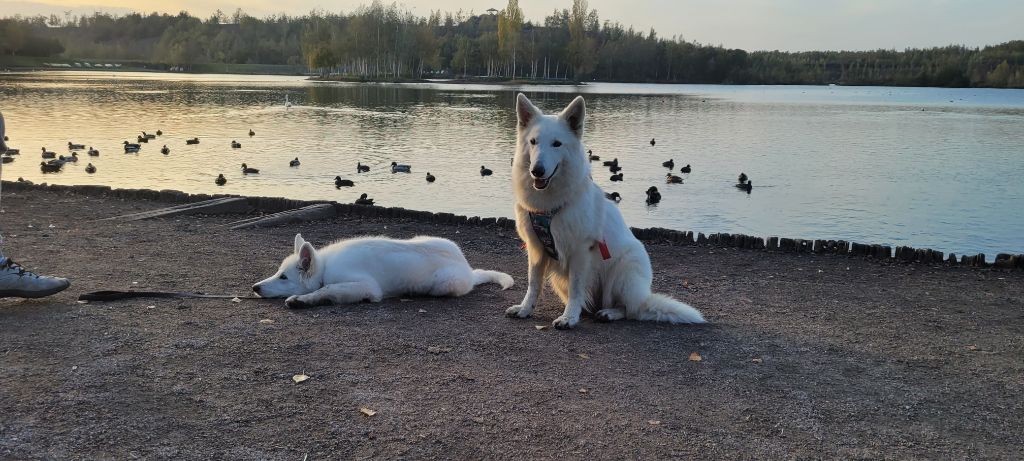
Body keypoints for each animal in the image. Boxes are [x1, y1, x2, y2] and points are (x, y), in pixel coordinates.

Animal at [252, 234, 516, 309]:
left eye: (284, 277)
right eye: (278, 272)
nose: (254, 288)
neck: (325, 268)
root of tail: (469, 269)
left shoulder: (366, 286)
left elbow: (328, 289)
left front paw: (302, 300)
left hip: (443, 284)